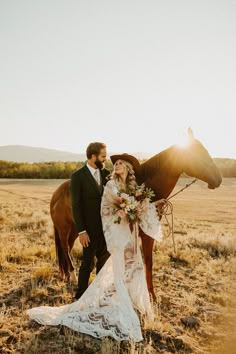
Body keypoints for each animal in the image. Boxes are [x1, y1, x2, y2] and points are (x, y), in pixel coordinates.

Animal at [49, 131, 221, 300]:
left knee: (68, 248)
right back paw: (72, 276)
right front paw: (151, 295)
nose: (218, 179)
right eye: (199, 153)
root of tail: (57, 193)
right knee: (65, 247)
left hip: (75, 230)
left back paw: (67, 275)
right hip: (66, 230)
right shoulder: (146, 236)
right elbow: (148, 263)